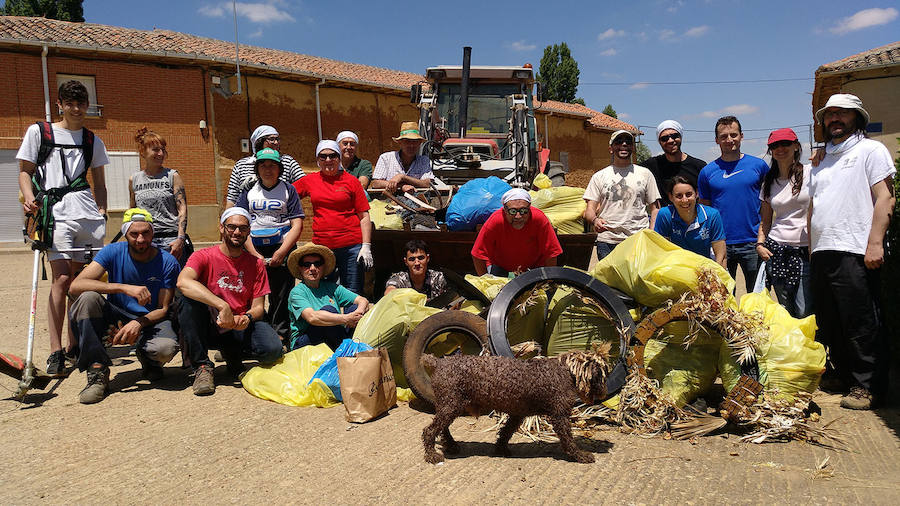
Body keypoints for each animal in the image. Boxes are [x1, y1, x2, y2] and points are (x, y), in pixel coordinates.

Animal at [424, 350, 612, 464]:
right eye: (602, 374)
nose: (605, 392)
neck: (565, 370)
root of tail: (438, 362)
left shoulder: (517, 414)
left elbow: (505, 433)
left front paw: (501, 449)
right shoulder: (559, 415)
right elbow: (568, 439)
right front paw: (580, 455)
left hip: (451, 405)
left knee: (442, 427)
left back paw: (451, 445)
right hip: (451, 405)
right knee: (429, 430)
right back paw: (432, 454)